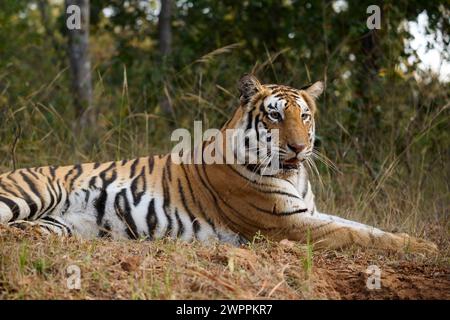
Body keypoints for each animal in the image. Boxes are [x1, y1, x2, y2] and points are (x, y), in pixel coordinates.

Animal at [0, 74, 438, 254]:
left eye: (305, 116)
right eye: (275, 116)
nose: (298, 148)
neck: (294, 176)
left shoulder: (307, 212)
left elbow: (366, 227)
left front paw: (420, 241)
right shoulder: (288, 222)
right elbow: (359, 235)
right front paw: (425, 248)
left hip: (56, 226)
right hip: (31, 193)